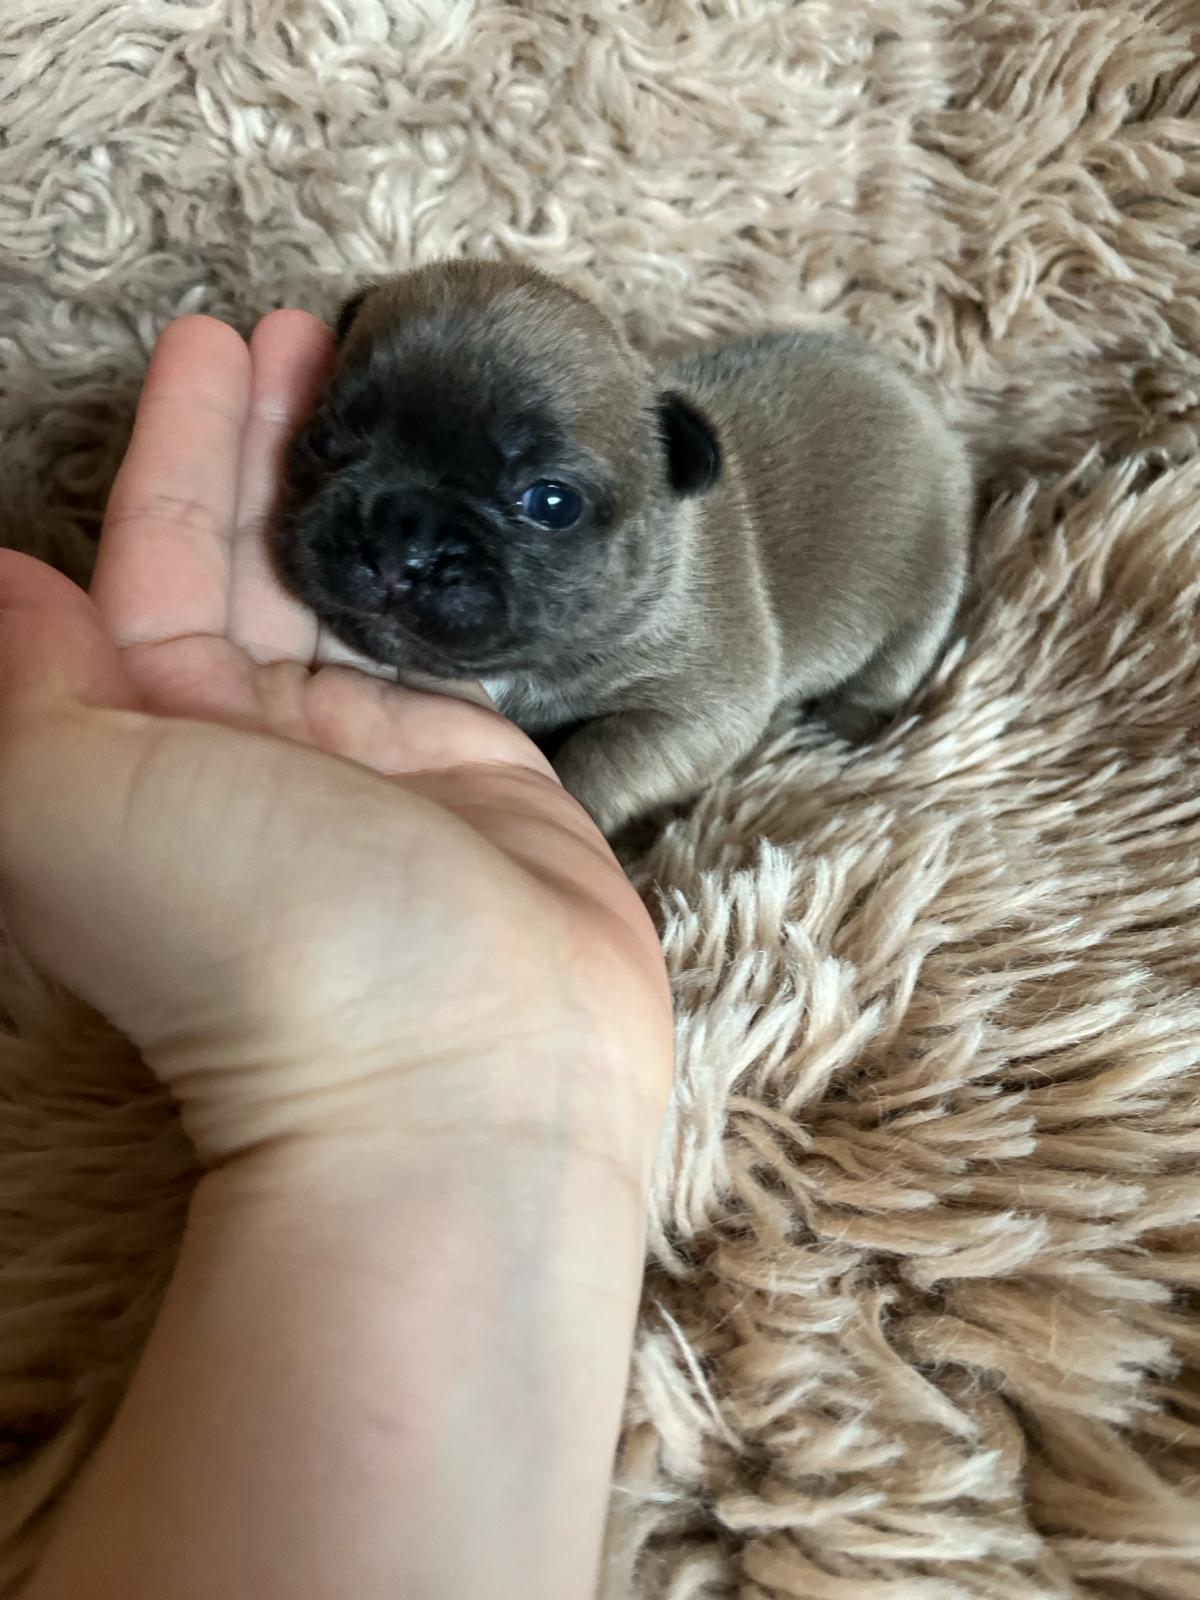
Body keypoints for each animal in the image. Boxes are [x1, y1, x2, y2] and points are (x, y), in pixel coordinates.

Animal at [276, 256, 972, 832]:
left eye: (552, 504)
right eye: (323, 440)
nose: (403, 548)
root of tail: (912, 393)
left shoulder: (698, 710)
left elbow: (600, 759)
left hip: (927, 596)